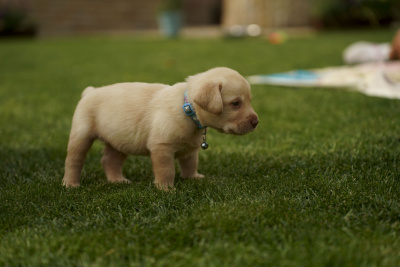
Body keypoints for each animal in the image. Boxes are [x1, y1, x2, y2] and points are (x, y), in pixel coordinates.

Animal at [61, 68, 258, 192]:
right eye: (235, 103)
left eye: (249, 100)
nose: (256, 122)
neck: (186, 107)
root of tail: (90, 91)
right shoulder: (162, 148)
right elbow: (166, 170)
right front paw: (166, 189)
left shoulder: (190, 149)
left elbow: (190, 164)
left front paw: (192, 177)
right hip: (81, 135)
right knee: (74, 161)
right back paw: (70, 184)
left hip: (119, 141)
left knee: (109, 160)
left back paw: (117, 180)